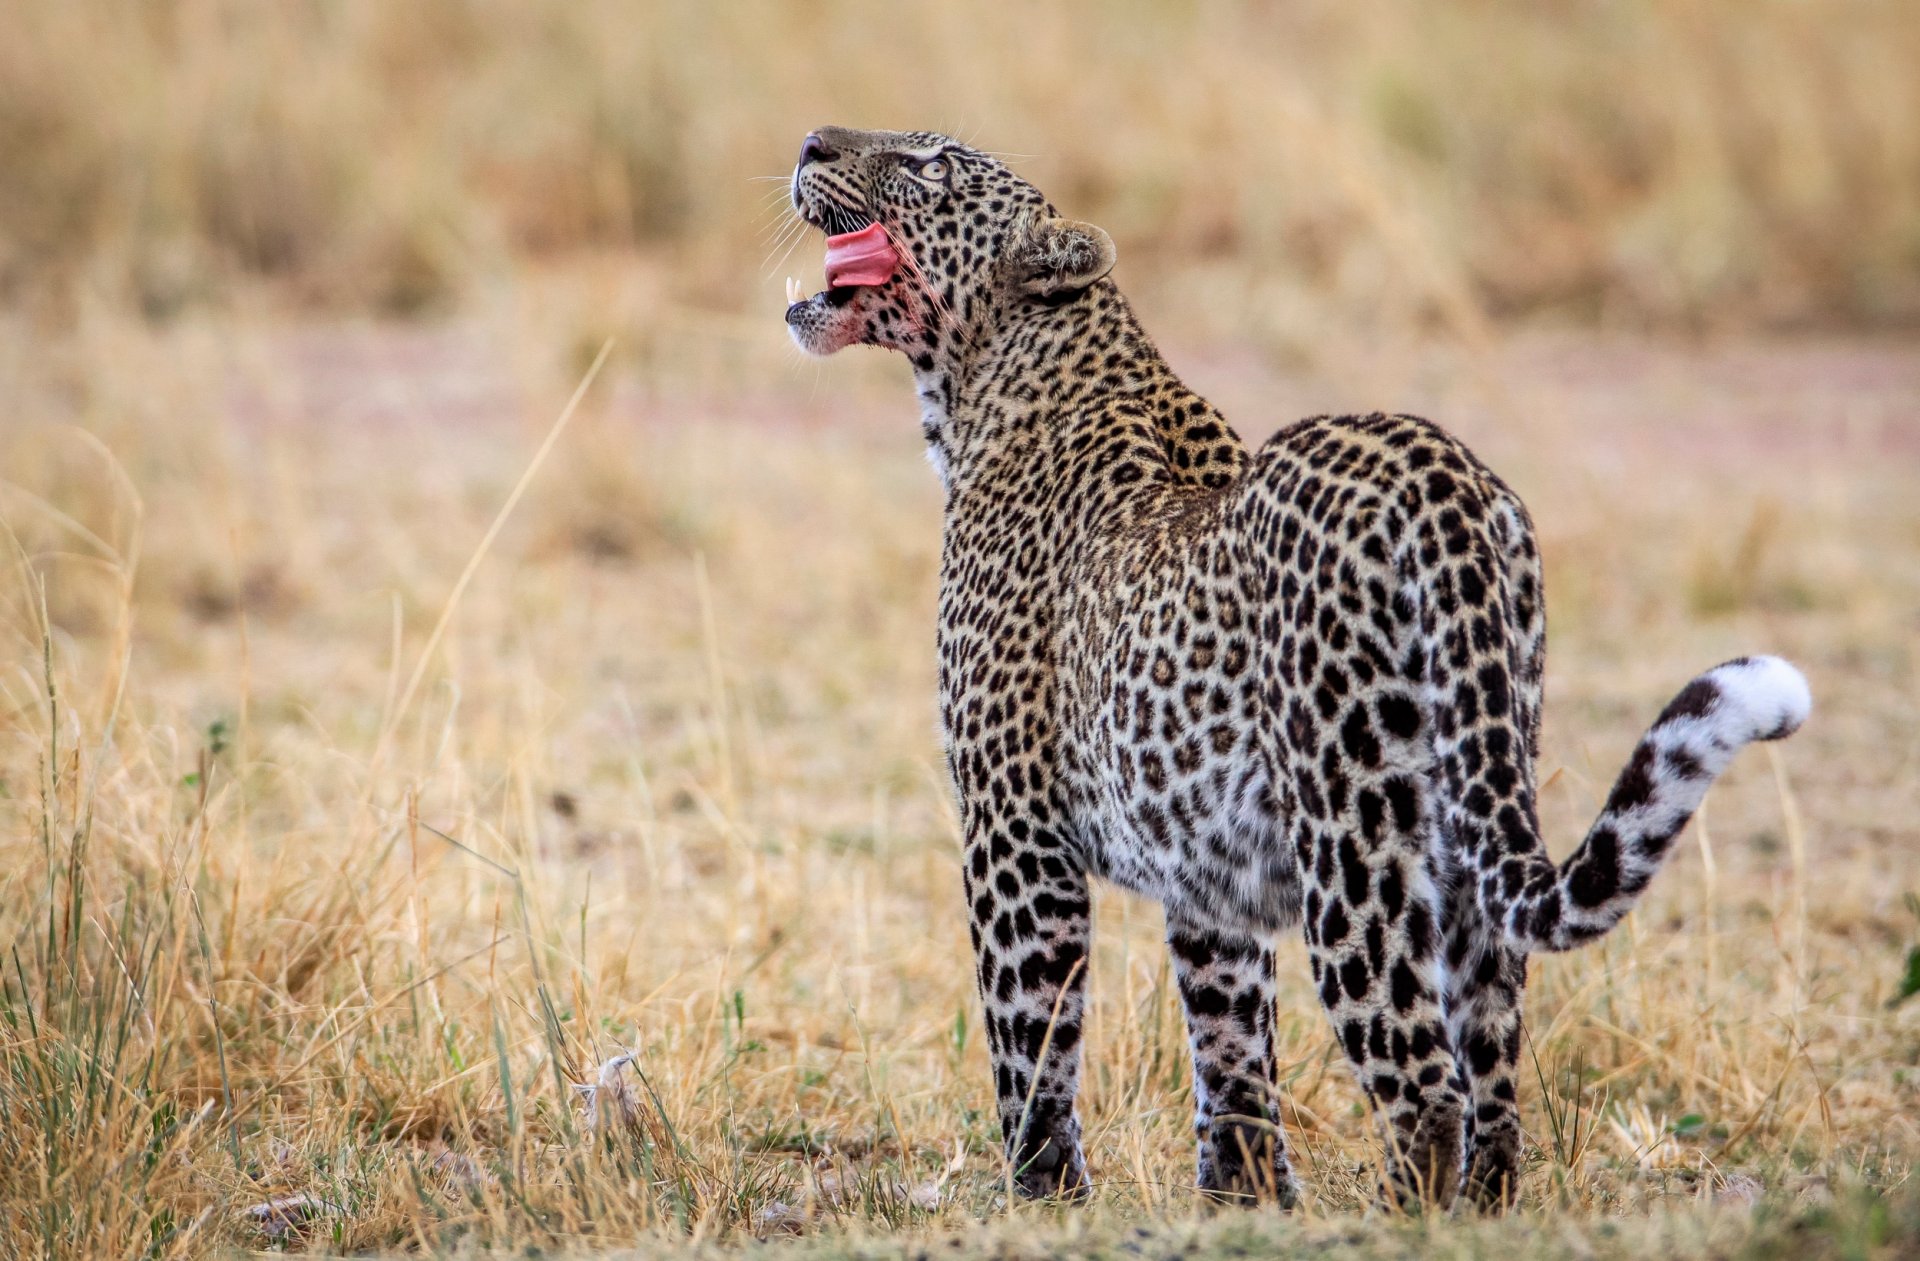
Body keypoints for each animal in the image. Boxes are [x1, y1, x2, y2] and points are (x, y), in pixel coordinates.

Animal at [782, 125, 1812, 1211]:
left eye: (928, 164)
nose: (811, 140)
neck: (985, 394)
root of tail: (1442, 472)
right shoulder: (1205, 866)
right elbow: (1232, 1041)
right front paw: (1241, 1202)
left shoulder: (1012, 825)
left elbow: (1031, 1030)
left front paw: (1043, 1198)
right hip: (1478, 791)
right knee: (1493, 1070)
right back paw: (1482, 1210)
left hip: (1350, 833)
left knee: (1422, 1082)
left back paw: (1396, 1218)